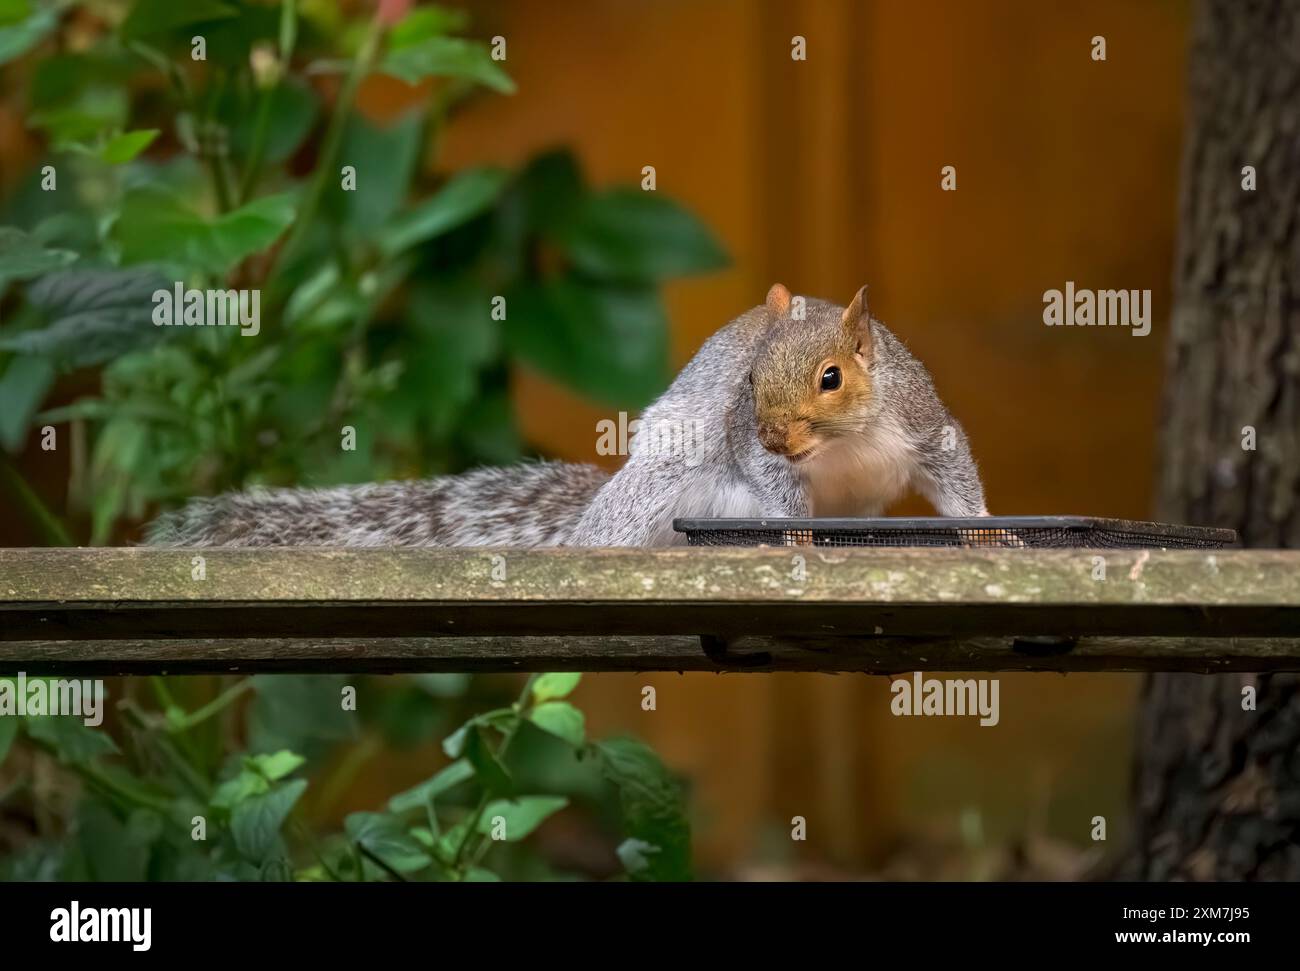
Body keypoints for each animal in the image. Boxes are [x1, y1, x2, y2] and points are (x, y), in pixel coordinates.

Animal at [147, 284, 987, 551]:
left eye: (831, 377)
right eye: (748, 381)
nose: (777, 432)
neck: (838, 445)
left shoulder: (919, 420)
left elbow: (956, 474)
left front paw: (989, 531)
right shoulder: (758, 457)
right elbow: (776, 490)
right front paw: (799, 535)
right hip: (657, 487)